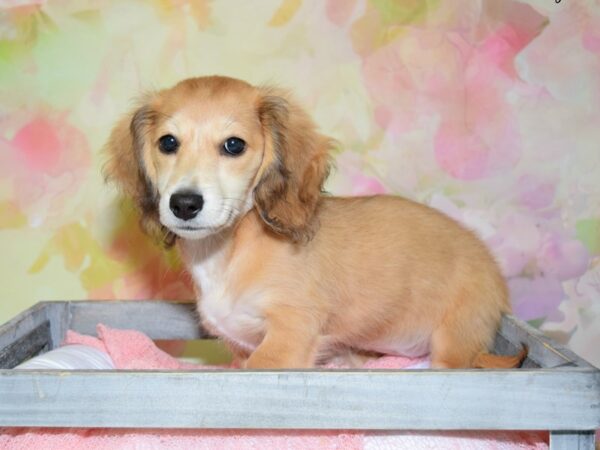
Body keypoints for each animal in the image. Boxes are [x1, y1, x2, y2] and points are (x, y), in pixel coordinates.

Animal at [105, 74, 528, 370]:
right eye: (168, 143)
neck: (231, 252)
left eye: (233, 145)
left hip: (452, 345)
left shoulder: (289, 334)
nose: (184, 204)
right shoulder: (240, 347)